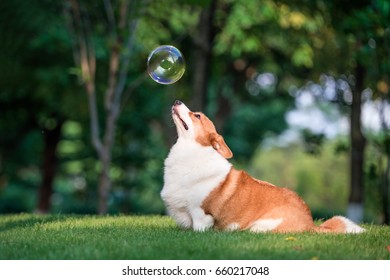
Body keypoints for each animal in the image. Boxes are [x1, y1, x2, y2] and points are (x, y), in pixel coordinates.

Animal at [160, 100, 364, 234]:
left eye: (197, 116)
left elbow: (199, 228)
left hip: (259, 227)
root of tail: (311, 225)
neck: (191, 151)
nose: (177, 100)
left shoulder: (201, 215)